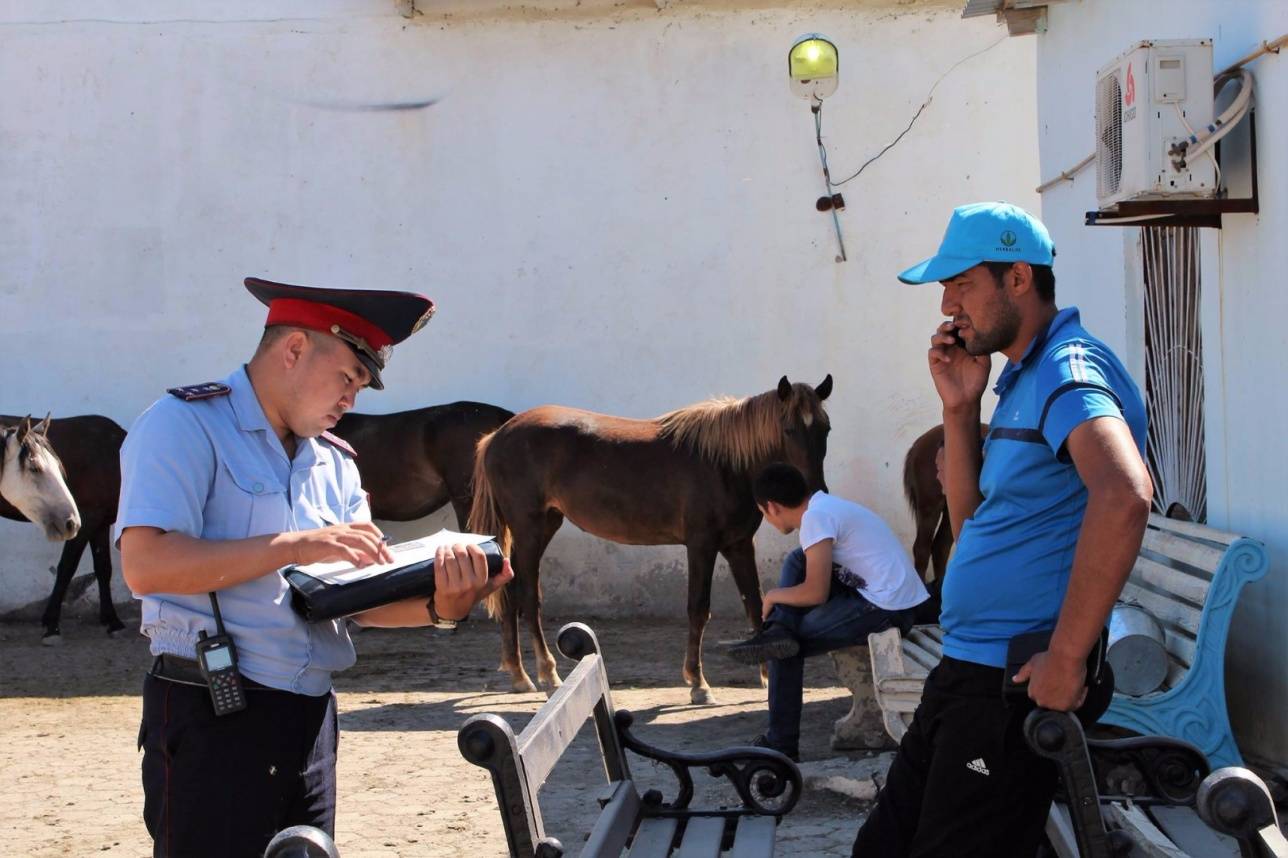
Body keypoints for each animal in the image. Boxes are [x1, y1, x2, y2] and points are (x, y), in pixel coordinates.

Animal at [0, 412, 126, 638]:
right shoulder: (87, 519)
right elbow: (67, 568)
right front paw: (51, 624)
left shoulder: (100, 524)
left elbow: (103, 568)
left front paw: (112, 620)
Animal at [468, 373, 829, 700]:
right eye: (788, 429)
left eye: (825, 428)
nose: (814, 492)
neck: (724, 463)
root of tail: (497, 436)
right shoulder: (701, 545)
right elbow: (699, 609)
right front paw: (698, 683)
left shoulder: (739, 545)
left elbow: (754, 604)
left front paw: (766, 674)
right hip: (529, 528)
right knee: (529, 597)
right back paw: (548, 675)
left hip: (544, 526)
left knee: (511, 590)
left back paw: (519, 675)